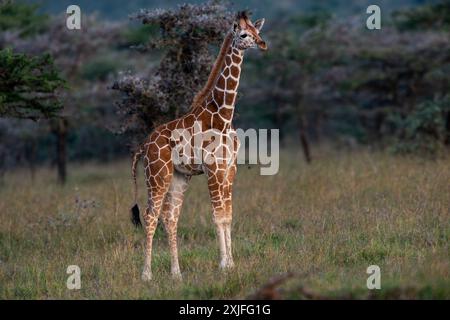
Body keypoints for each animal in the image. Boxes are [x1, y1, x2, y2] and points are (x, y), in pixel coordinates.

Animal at [130, 11, 266, 282]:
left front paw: (231, 263)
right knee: (151, 216)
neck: (223, 115)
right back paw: (146, 275)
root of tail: (143, 146)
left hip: (179, 177)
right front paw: (224, 265)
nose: (262, 44)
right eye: (243, 35)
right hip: (157, 175)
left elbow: (228, 215)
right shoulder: (213, 169)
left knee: (170, 218)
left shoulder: (229, 169)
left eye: (257, 32)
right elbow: (217, 216)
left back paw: (176, 273)